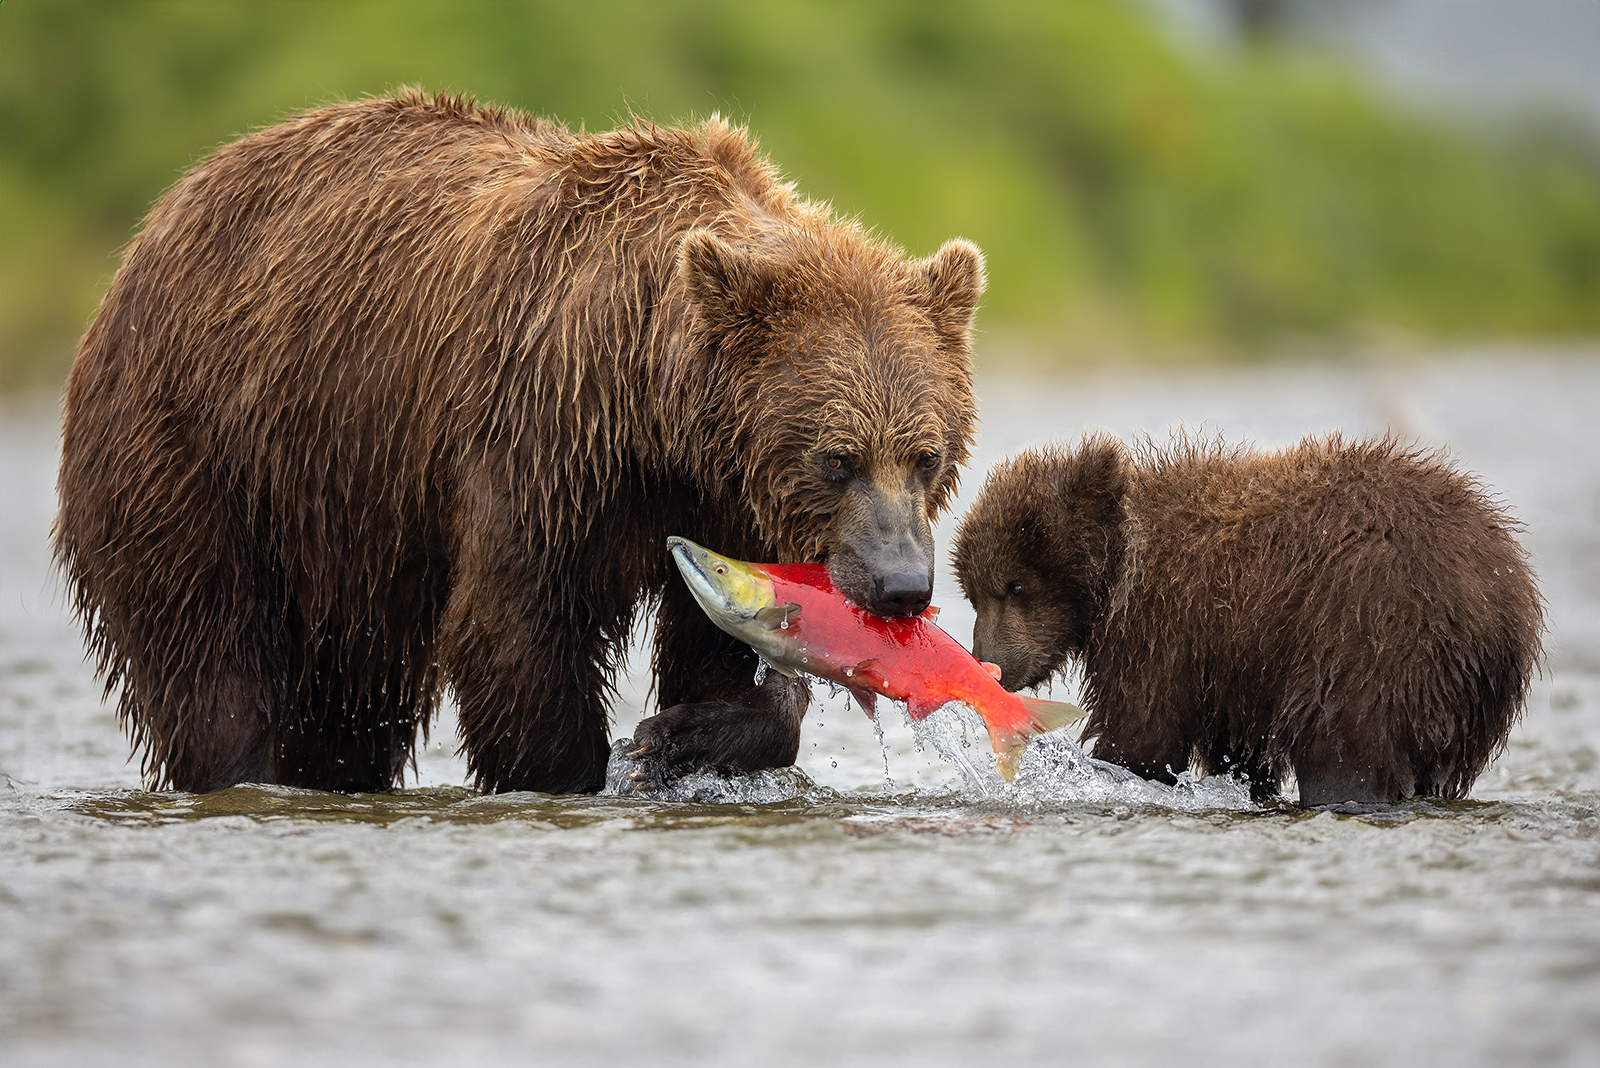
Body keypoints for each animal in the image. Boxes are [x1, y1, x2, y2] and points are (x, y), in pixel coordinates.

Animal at [56, 89, 979, 793]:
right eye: (837, 458)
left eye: (926, 455)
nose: (901, 585)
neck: (654, 411)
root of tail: (152, 229)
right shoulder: (540, 436)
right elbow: (513, 623)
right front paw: (581, 766)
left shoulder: (725, 498)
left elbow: (726, 643)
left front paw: (682, 734)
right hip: (199, 452)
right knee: (211, 658)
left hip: (346, 536)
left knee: (347, 703)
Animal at [953, 431, 1542, 799]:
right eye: (973, 592)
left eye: (1016, 585)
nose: (989, 662)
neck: (1120, 570)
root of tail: (1501, 595)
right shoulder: (1230, 665)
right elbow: (1236, 751)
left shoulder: (1165, 628)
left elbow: (1144, 733)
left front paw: (1102, 766)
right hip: (1459, 702)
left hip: (1372, 637)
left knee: (1345, 750)